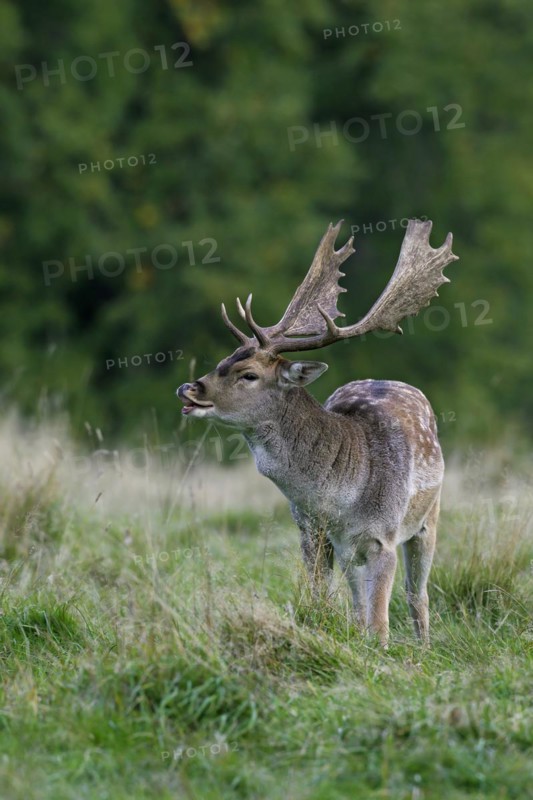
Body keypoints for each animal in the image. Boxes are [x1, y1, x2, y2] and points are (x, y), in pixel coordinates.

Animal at [177, 219, 458, 645]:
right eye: (221, 361)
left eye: (248, 374)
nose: (189, 389)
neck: (340, 497)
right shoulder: (311, 531)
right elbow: (322, 602)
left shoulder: (383, 537)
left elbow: (380, 622)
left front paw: (383, 653)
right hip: (349, 552)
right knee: (358, 602)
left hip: (430, 517)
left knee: (417, 594)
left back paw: (424, 647)